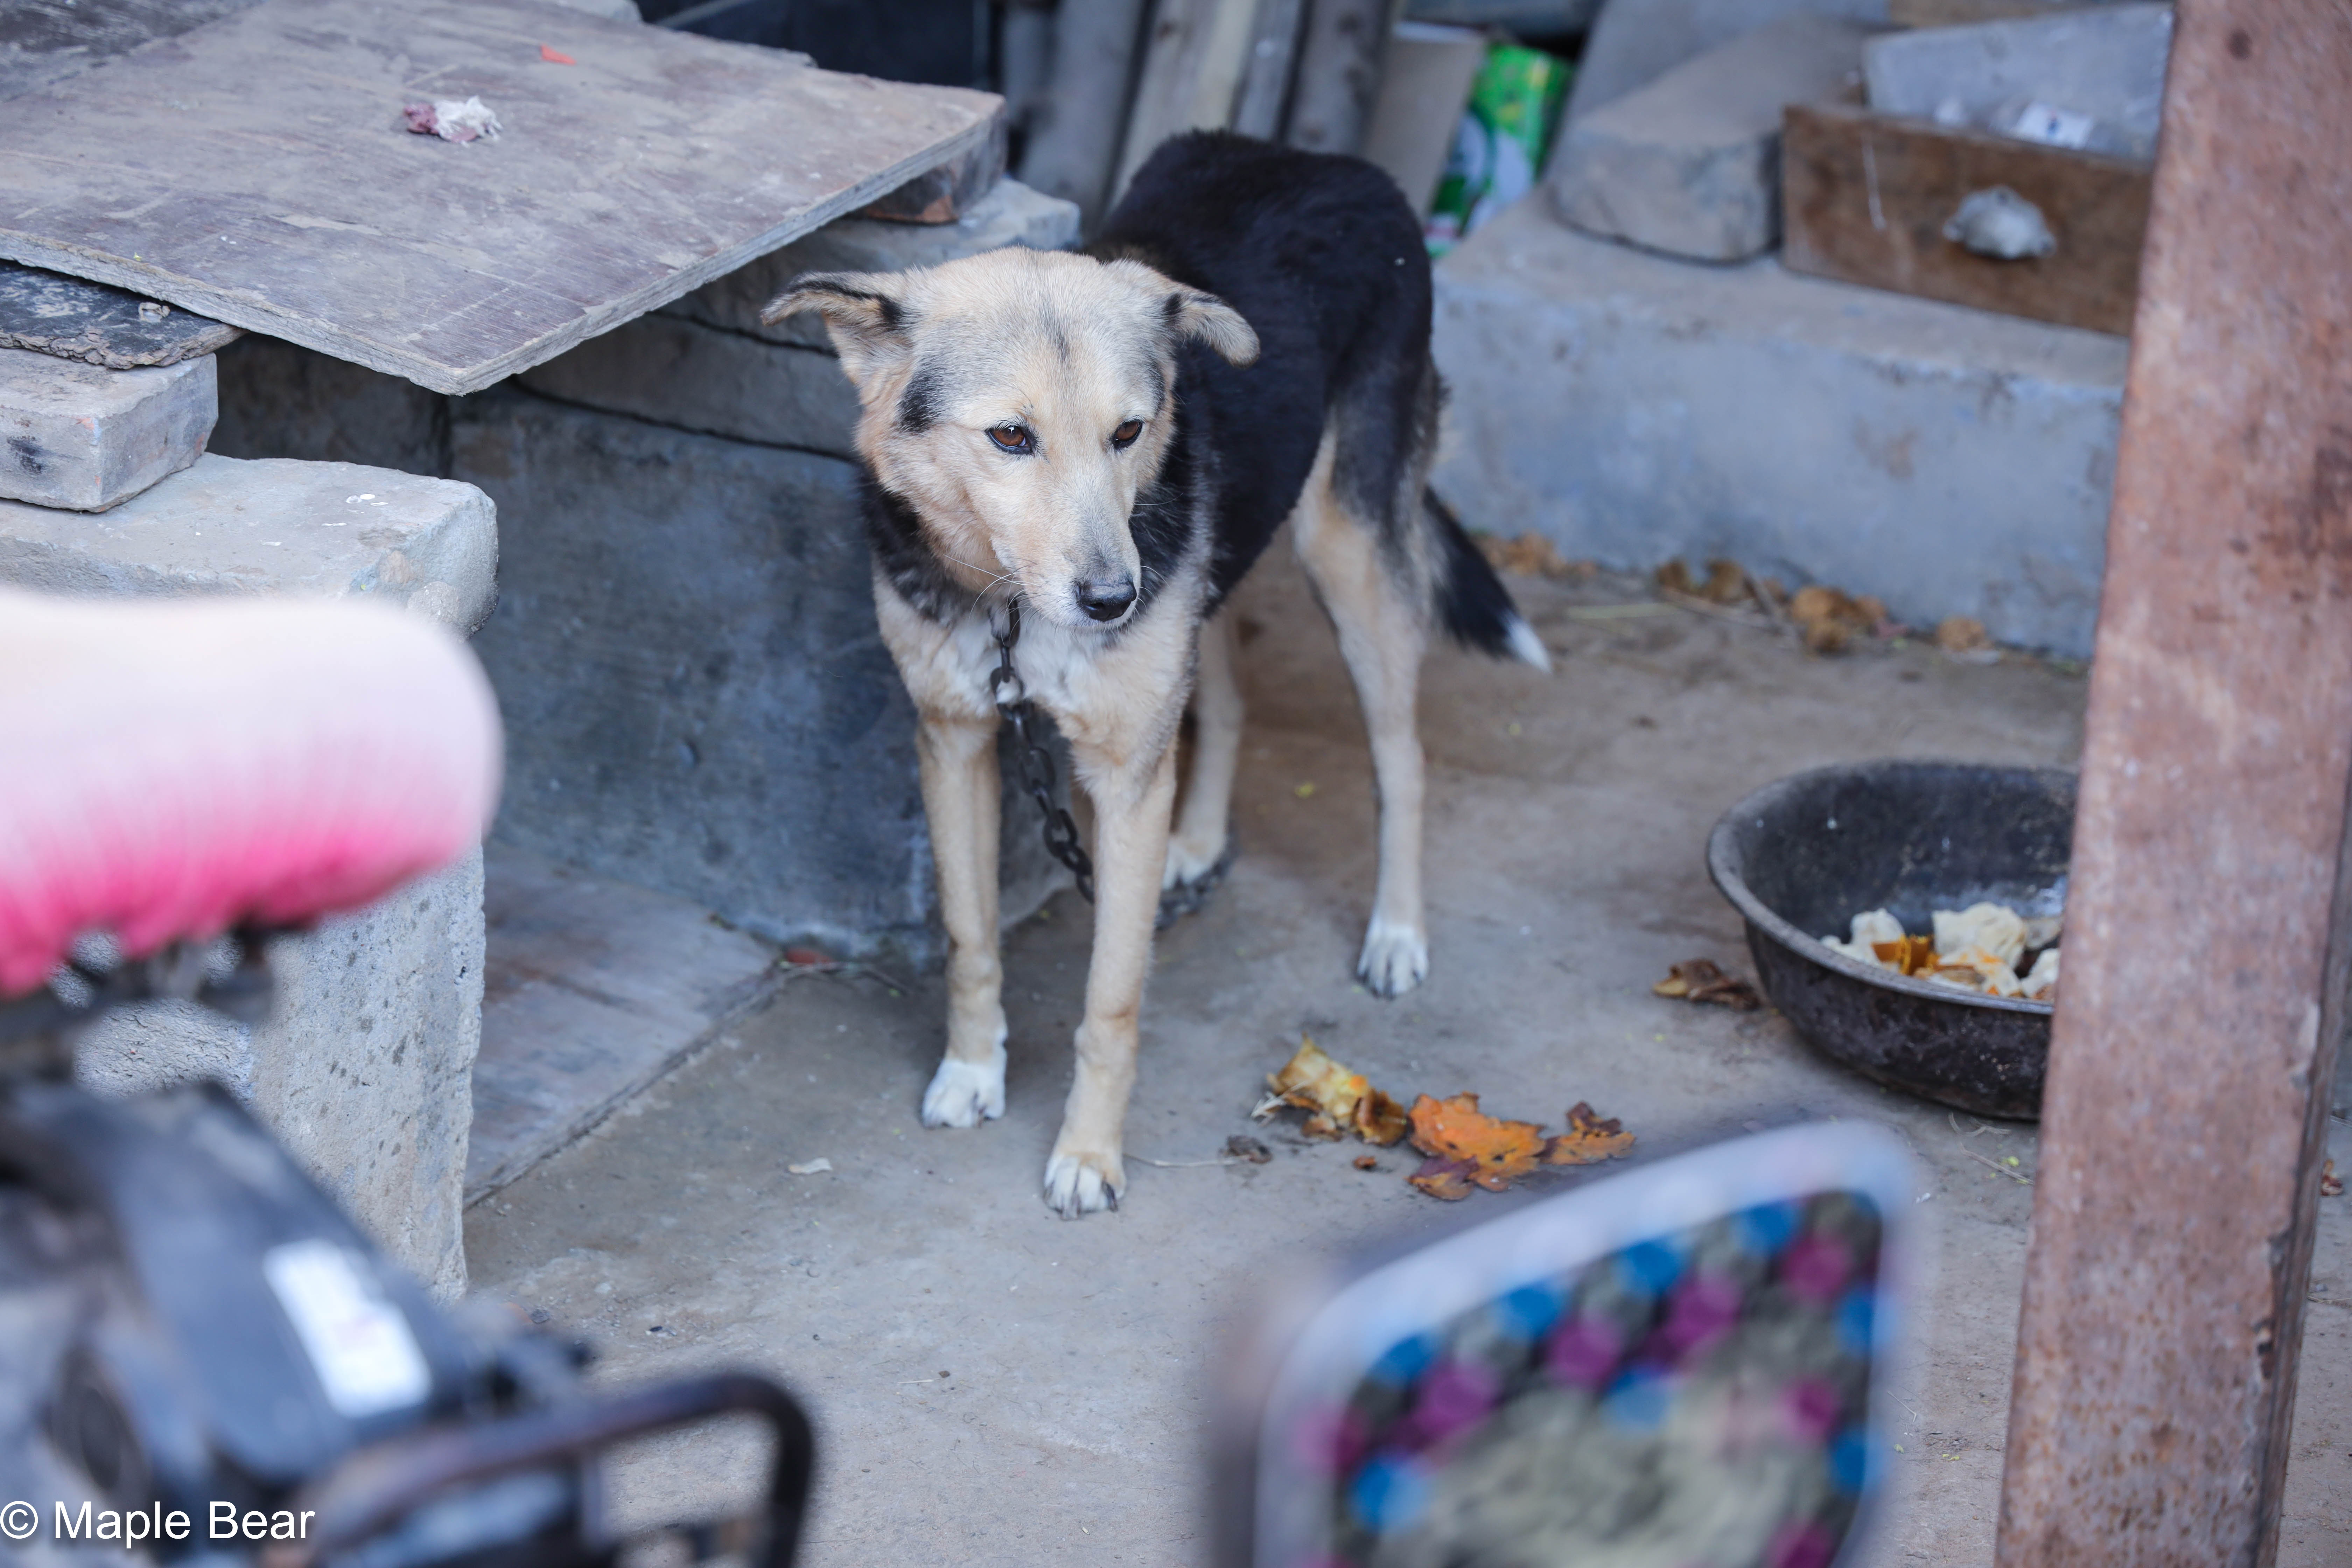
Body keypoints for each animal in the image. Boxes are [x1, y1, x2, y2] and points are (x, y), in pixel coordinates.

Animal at [762, 132, 1552, 1213]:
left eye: (1128, 433)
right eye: (1010, 436)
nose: (1109, 600)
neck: (1011, 608)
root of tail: (1324, 158)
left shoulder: (1122, 779)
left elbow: (1112, 1000)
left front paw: (1089, 1156)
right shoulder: (955, 742)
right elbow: (971, 940)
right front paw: (971, 1072)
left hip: (1345, 558)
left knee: (1404, 758)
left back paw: (1396, 934)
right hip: (1204, 578)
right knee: (1228, 699)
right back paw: (1201, 842)